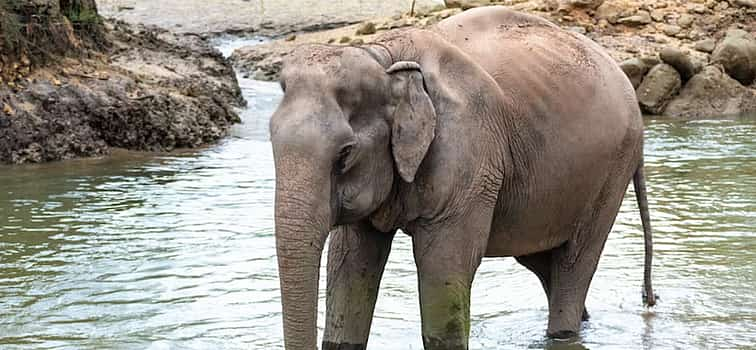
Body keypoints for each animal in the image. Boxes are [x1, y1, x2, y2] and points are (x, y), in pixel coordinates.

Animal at [270, 6, 656, 350]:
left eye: (345, 153)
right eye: (270, 137)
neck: (383, 56)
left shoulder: (469, 150)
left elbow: (443, 266)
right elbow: (350, 262)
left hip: (611, 172)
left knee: (575, 261)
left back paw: (564, 331)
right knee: (543, 261)